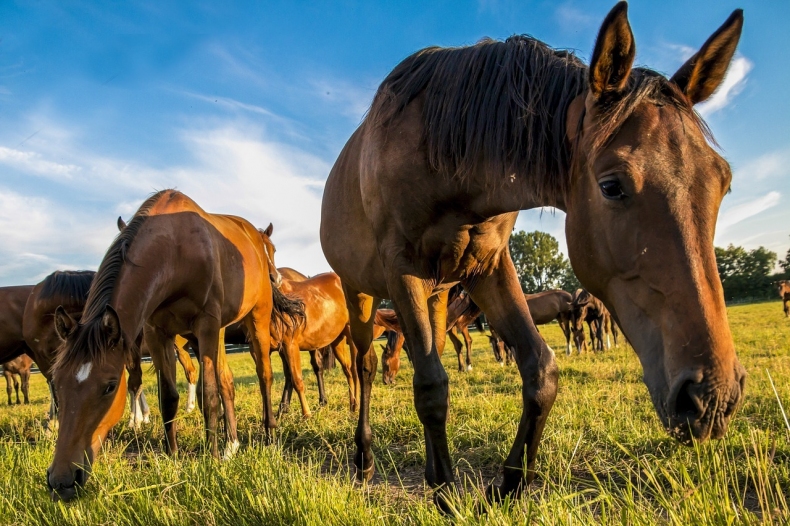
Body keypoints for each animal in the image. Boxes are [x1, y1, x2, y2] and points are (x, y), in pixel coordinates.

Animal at [48, 191, 304, 504]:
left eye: (109, 386)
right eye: (57, 383)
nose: (61, 480)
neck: (175, 251)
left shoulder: (205, 324)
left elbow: (209, 394)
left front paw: (212, 459)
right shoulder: (157, 333)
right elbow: (169, 397)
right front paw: (173, 455)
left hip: (256, 317)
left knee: (263, 373)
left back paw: (268, 435)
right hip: (219, 332)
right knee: (228, 381)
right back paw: (231, 445)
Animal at [320, 2, 748, 510]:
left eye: (723, 182)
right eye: (612, 186)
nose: (712, 397)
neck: (440, 151)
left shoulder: (488, 266)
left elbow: (540, 371)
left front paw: (507, 484)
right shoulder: (401, 271)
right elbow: (430, 388)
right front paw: (445, 492)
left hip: (437, 294)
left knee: (433, 352)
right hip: (361, 292)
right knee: (366, 365)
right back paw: (364, 461)